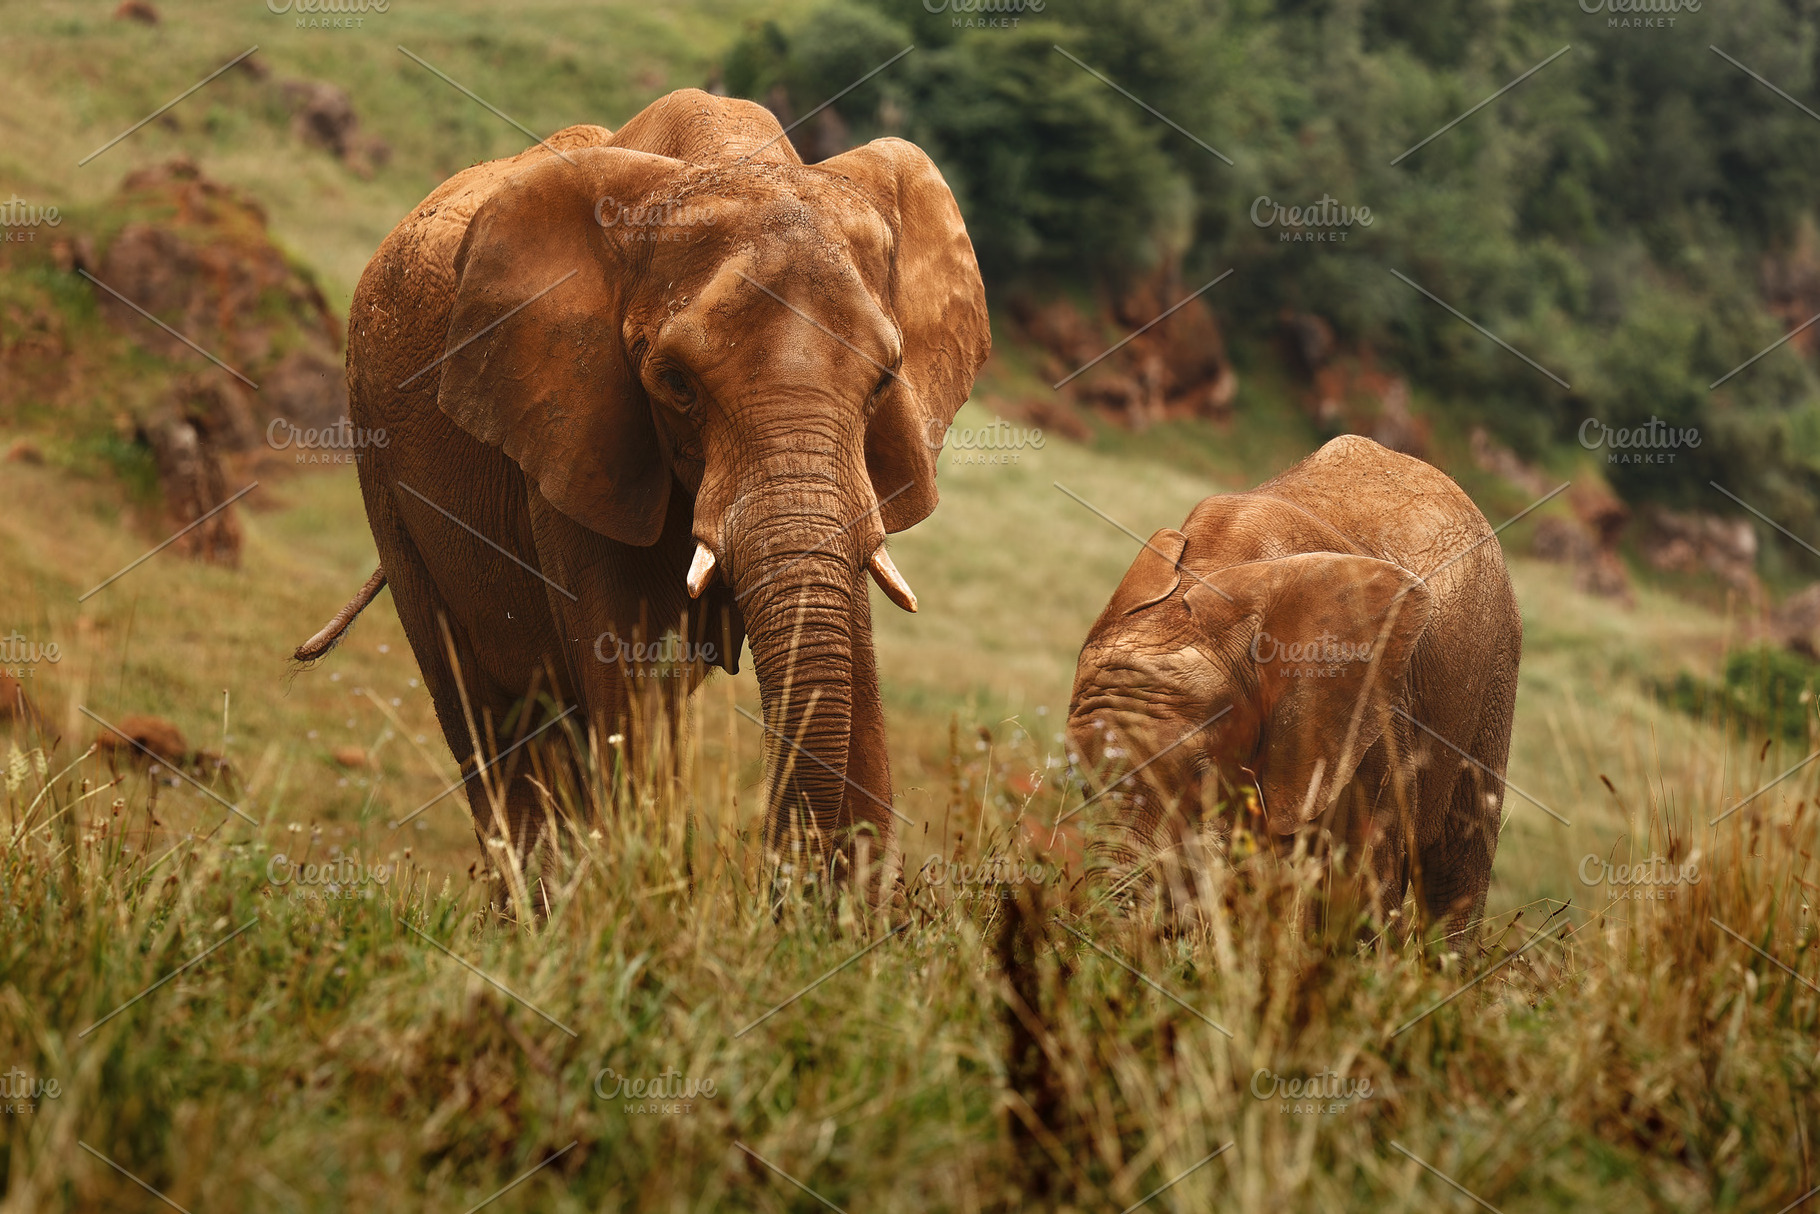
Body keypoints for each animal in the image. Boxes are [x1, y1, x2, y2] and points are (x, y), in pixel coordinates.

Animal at [294, 90, 990, 903]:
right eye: (675, 383)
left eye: (885, 379)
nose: (771, 870)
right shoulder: (573, 430)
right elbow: (623, 676)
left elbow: (850, 658)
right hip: (378, 462)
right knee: (490, 717)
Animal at [1065, 436, 1521, 944]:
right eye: (1079, 781)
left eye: (1202, 779)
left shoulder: (1370, 710)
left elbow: (1357, 882)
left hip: (1494, 673)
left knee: (1457, 868)